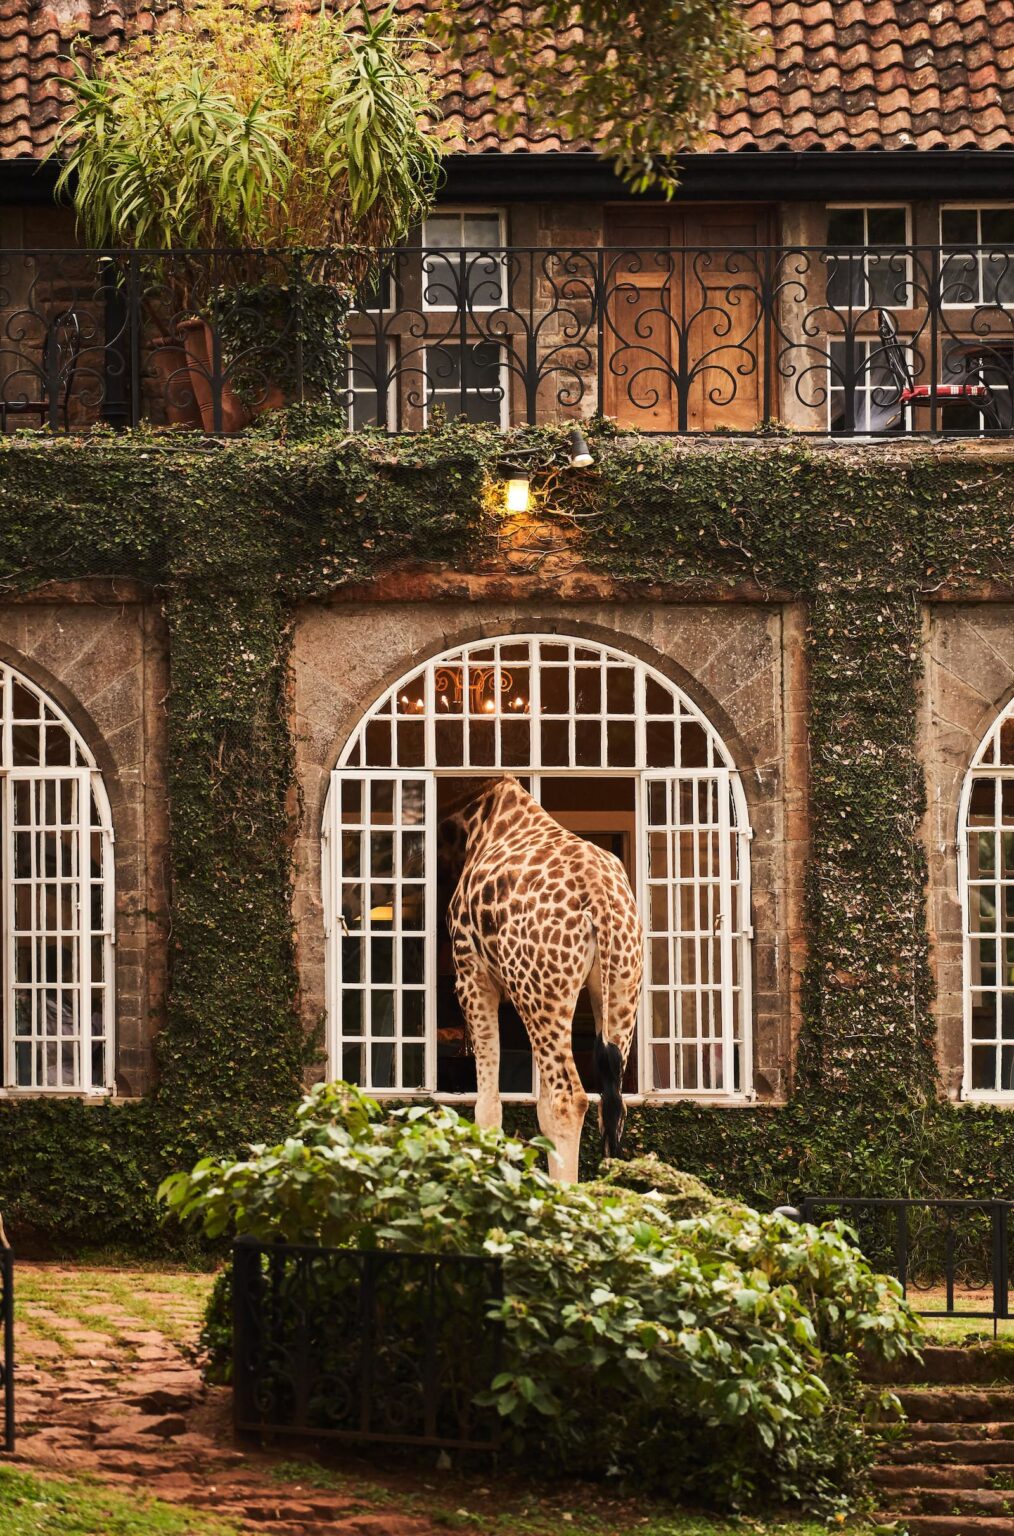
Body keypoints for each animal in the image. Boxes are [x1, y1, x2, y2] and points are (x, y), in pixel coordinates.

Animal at [440, 775, 643, 1182]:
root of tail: (598, 894)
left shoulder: (471, 974)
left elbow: (487, 1107)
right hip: (621, 985)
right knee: (610, 1105)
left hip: (539, 989)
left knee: (569, 1099)